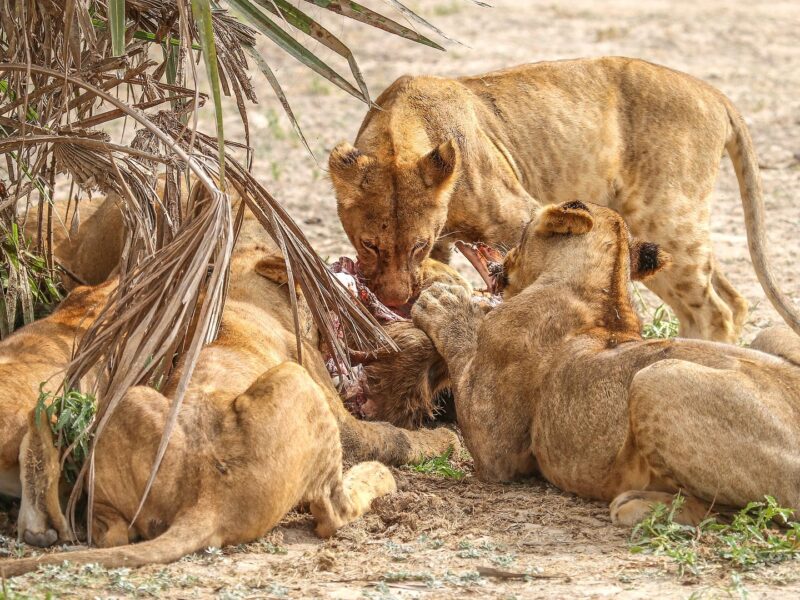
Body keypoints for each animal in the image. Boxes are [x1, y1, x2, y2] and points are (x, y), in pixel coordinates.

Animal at [0, 210, 459, 576]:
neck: (240, 295)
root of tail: (209, 498)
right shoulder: (336, 409)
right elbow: (394, 437)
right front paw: (445, 440)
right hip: (294, 379)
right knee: (331, 510)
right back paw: (376, 478)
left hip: (128, 398)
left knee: (111, 534)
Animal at [329, 56, 800, 343]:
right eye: (369, 244)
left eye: (418, 245)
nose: (393, 300)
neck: (401, 131)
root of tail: (715, 94)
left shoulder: (522, 215)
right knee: (732, 299)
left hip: (665, 217)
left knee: (715, 311)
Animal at [410, 200, 800, 525]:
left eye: (522, 233)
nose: (500, 260)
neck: (603, 291)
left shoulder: (498, 451)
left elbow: (462, 349)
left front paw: (444, 303)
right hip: (767, 336)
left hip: (657, 378)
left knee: (759, 513)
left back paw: (638, 506)